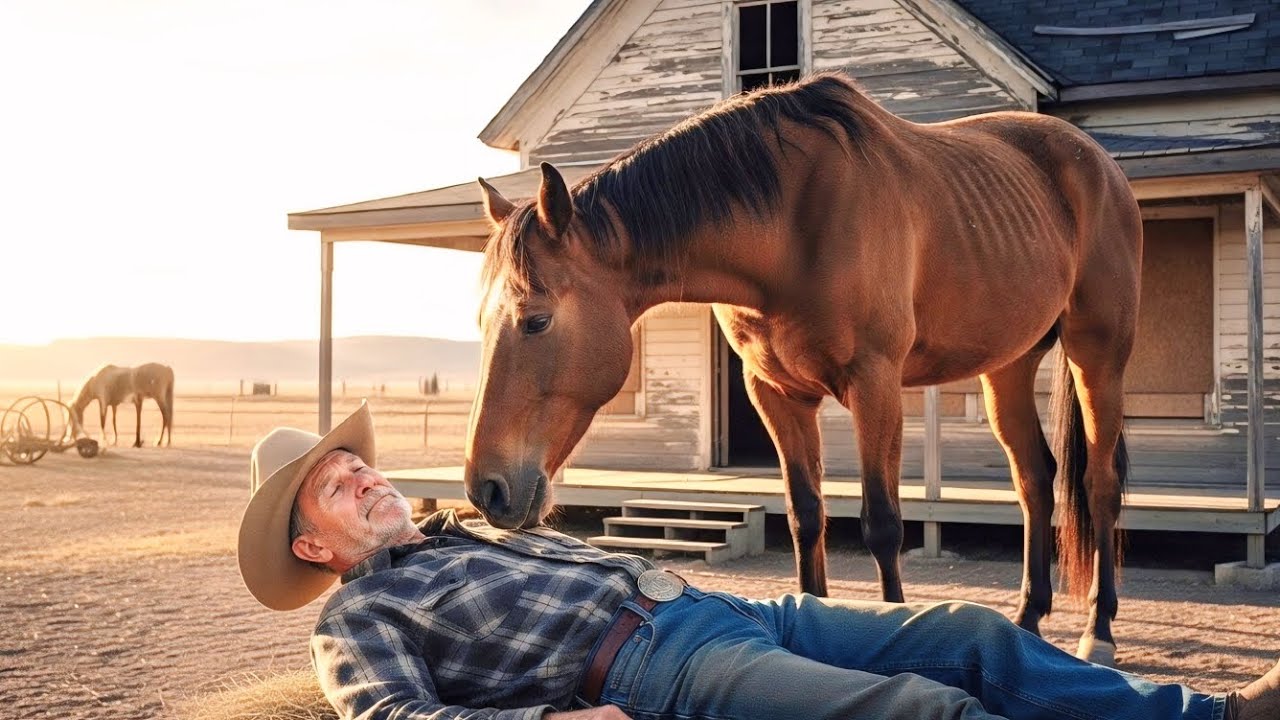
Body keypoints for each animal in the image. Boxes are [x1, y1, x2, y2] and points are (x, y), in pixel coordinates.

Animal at [466, 72, 1141, 666]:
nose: (486, 489)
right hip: (1008, 367)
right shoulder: (776, 393)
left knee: (1099, 484)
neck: (790, 223)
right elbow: (805, 516)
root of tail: (1099, 163)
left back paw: (1098, 632)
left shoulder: (875, 384)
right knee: (1034, 478)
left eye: (535, 320)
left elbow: (881, 524)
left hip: (1098, 354)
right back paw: (1027, 619)